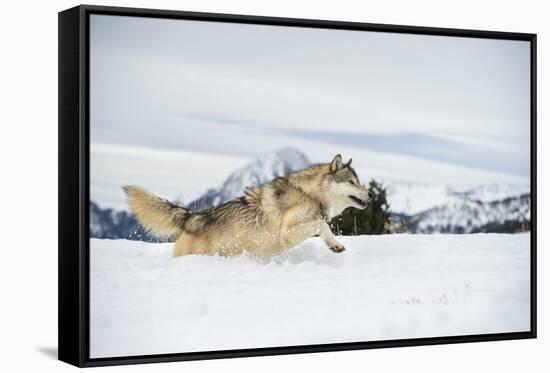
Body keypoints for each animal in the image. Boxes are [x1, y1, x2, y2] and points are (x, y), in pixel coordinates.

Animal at [124, 154, 374, 256]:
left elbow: (322, 227)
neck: (310, 194)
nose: (371, 194)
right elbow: (321, 224)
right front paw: (335, 244)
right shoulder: (286, 234)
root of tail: (193, 216)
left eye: (359, 181)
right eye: (352, 182)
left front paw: (334, 245)